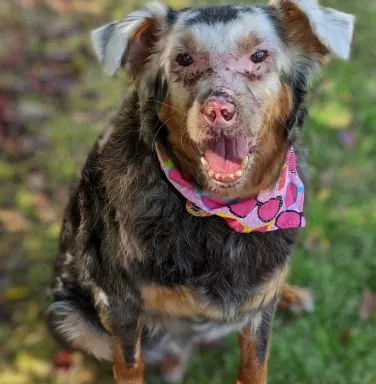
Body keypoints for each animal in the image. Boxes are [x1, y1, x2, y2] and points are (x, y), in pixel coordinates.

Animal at [48, 1, 354, 382]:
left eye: (259, 55)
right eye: (184, 59)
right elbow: (129, 365)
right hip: (67, 315)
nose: (218, 110)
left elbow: (255, 364)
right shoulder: (120, 306)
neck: (225, 213)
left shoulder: (258, 314)